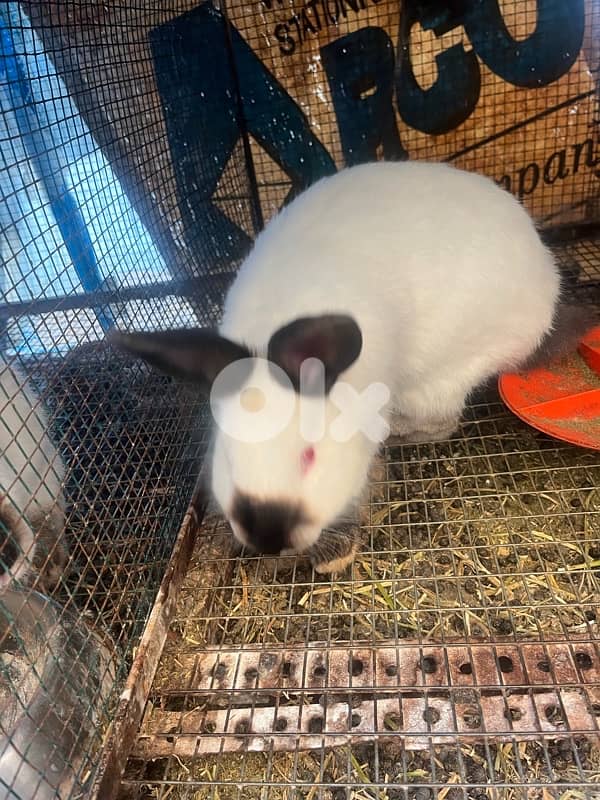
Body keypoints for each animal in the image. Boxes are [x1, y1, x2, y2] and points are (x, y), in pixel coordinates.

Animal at [108, 160, 596, 574]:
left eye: (309, 455)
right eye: (225, 455)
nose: (269, 535)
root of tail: (547, 295)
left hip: (443, 374)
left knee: (442, 422)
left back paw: (399, 433)